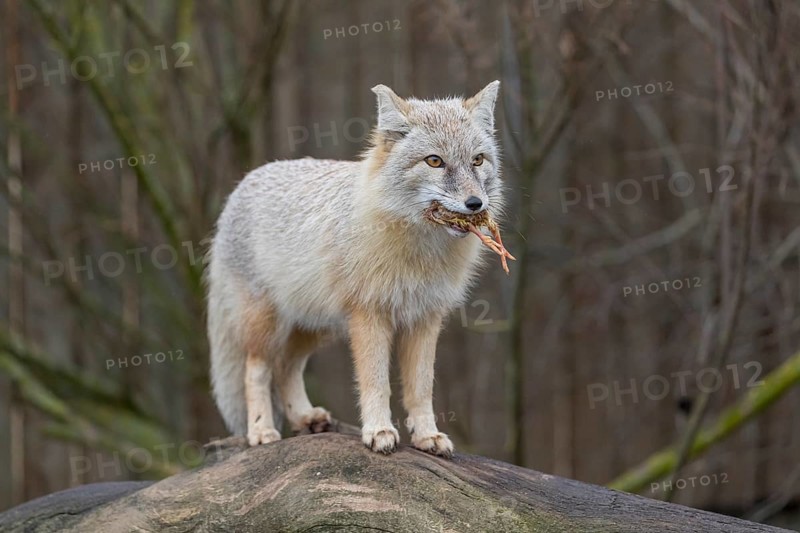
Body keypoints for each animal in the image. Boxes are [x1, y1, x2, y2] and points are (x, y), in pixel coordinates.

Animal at [206, 81, 504, 457]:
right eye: (435, 161)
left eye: (477, 160)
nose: (475, 204)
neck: (420, 253)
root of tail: (245, 182)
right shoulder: (369, 314)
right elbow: (376, 382)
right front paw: (379, 431)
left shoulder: (425, 318)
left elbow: (420, 388)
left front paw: (426, 435)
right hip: (268, 325)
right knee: (256, 370)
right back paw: (261, 431)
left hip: (315, 327)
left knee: (286, 366)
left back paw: (304, 417)